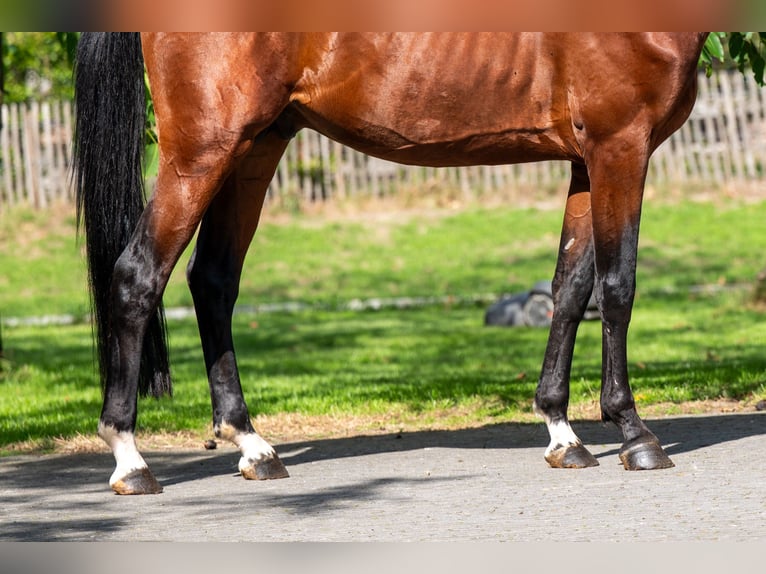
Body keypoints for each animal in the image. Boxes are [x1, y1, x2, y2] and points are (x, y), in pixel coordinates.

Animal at [73, 32, 708, 494]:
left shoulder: (585, 159)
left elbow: (570, 289)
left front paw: (562, 434)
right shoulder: (618, 145)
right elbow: (617, 286)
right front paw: (634, 433)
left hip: (255, 146)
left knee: (213, 282)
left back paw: (253, 446)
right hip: (202, 151)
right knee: (137, 276)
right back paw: (131, 461)